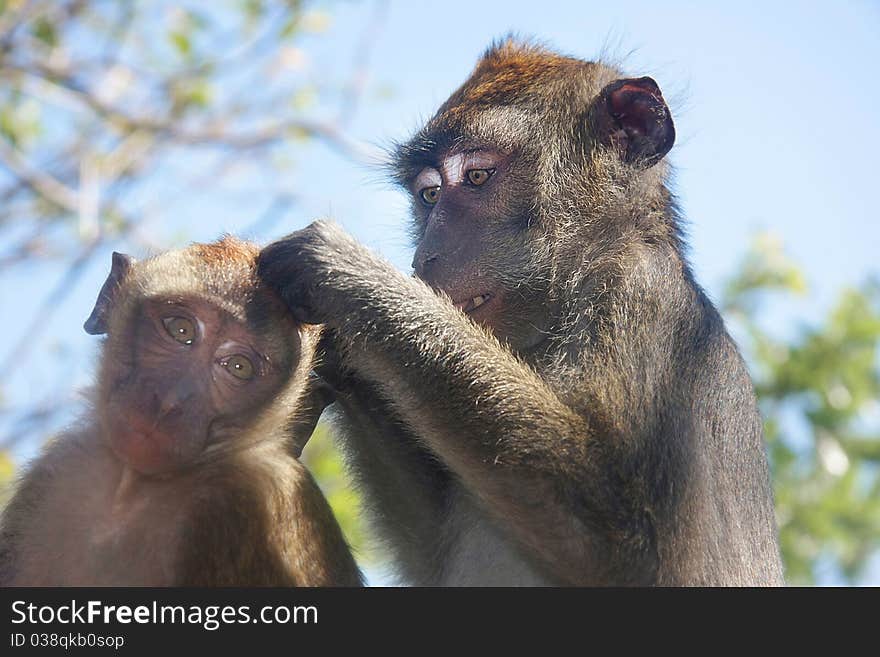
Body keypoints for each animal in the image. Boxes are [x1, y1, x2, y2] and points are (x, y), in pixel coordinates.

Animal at [0, 236, 360, 584]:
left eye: (238, 367)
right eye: (181, 329)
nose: (170, 402)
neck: (130, 490)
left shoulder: (267, 496)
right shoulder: (61, 468)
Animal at [258, 41, 780, 584]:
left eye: (477, 176)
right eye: (429, 194)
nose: (425, 256)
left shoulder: (640, 299)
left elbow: (622, 542)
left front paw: (345, 272)